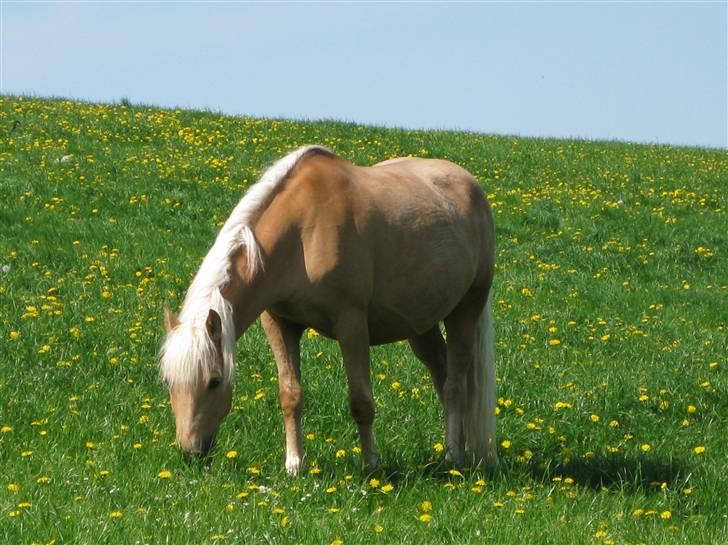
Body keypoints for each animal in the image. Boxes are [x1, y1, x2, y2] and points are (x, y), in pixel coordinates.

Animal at [160, 144, 498, 472]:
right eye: (168, 381)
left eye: (215, 381)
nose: (191, 453)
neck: (301, 233)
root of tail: (471, 186)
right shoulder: (279, 323)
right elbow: (290, 395)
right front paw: (294, 464)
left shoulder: (351, 323)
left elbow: (361, 402)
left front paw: (370, 464)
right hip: (420, 324)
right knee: (442, 374)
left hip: (465, 310)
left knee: (455, 384)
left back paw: (454, 456)